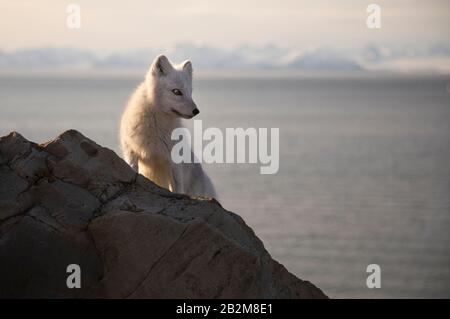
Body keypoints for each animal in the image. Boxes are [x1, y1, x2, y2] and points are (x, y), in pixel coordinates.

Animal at [119, 56, 216, 199]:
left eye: (190, 92)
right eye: (176, 91)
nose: (196, 111)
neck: (155, 126)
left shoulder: (173, 163)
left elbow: (176, 189)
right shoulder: (131, 154)